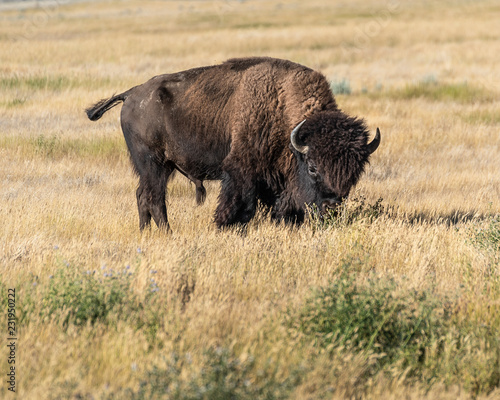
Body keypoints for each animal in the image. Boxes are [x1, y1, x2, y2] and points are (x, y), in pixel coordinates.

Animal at [86, 56, 380, 231]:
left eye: (354, 174)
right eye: (313, 168)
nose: (332, 207)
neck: (281, 103)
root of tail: (131, 94)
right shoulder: (240, 169)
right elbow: (238, 203)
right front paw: (224, 227)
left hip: (161, 167)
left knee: (143, 196)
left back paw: (146, 232)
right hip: (153, 164)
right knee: (153, 197)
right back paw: (167, 233)